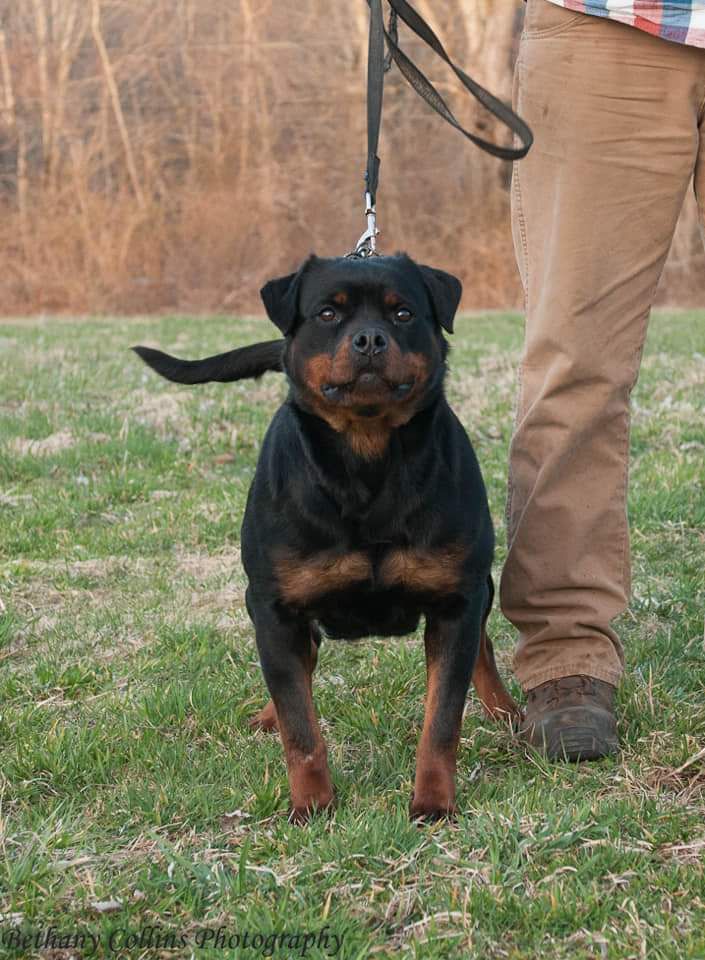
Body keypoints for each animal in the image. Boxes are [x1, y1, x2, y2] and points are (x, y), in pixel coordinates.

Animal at [133, 255, 516, 824]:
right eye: (328, 313)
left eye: (403, 312)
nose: (370, 339)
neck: (367, 459)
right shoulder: (275, 607)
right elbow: (301, 728)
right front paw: (312, 804)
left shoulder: (457, 601)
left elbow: (443, 719)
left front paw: (433, 802)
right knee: (300, 665)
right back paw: (269, 714)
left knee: (482, 648)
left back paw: (506, 711)